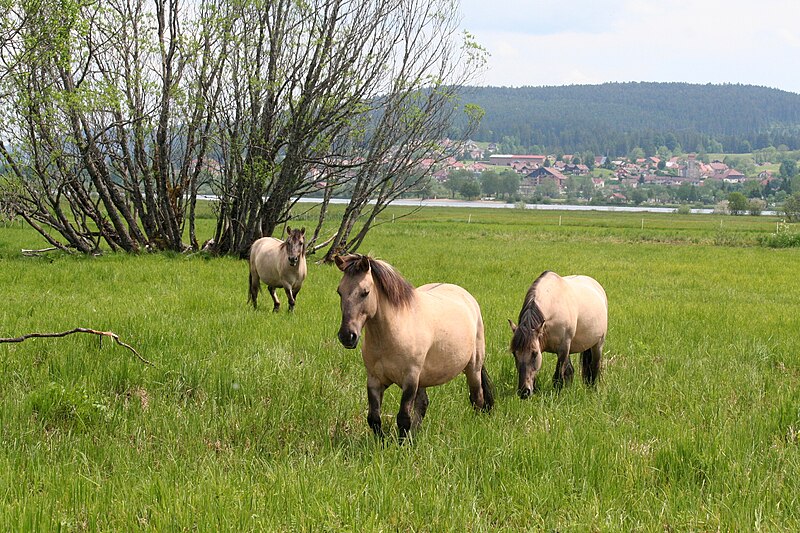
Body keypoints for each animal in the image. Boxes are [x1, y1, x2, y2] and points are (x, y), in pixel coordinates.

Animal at [332, 254, 494, 440]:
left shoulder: (410, 379)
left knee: (477, 398)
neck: (392, 334)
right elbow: (374, 418)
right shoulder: (374, 380)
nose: (347, 336)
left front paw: (401, 444)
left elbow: (403, 418)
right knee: (423, 404)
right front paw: (383, 442)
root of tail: (467, 297)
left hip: (473, 368)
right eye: (339, 292)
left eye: (365, 292)